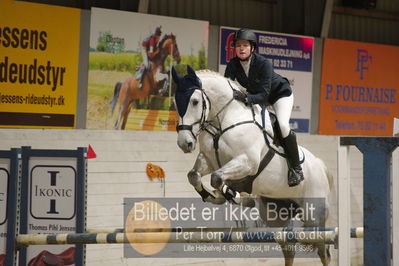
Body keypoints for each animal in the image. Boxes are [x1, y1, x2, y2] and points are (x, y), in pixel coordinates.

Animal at [173, 65, 332, 266]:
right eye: (175, 103)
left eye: (194, 101)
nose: (184, 143)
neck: (224, 119)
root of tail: (320, 166)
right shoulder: (209, 160)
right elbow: (194, 175)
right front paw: (215, 196)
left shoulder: (248, 162)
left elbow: (217, 178)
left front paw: (234, 196)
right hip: (277, 215)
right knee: (289, 247)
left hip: (313, 216)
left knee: (323, 250)